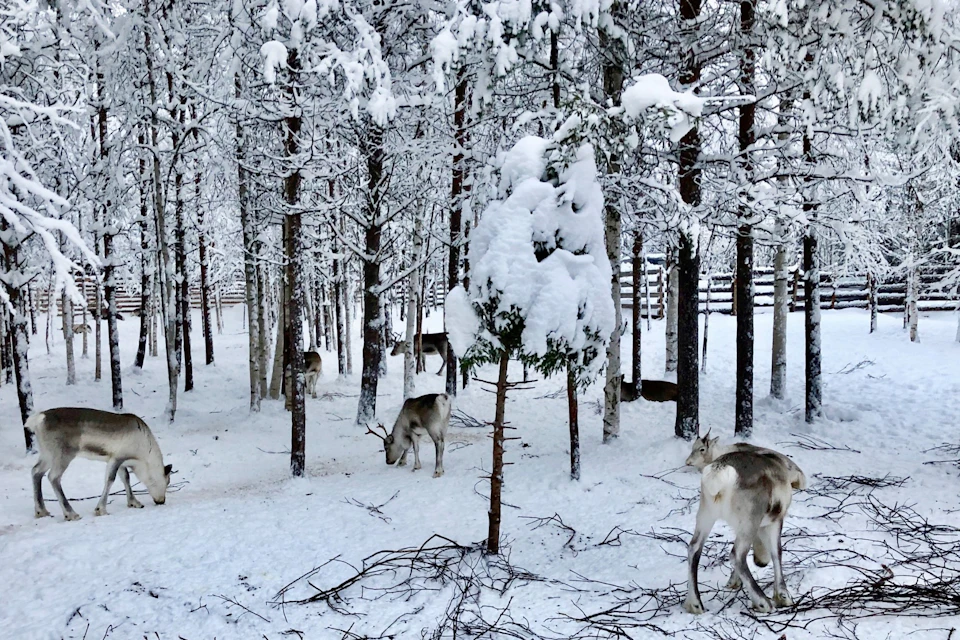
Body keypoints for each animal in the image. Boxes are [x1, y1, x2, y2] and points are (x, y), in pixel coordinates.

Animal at [27, 407, 173, 521]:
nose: (161, 501)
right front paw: (101, 509)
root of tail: (39, 419)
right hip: (63, 455)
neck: (142, 457)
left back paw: (41, 511)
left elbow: (126, 477)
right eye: (167, 481)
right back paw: (71, 514)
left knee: (36, 471)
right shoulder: (117, 458)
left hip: (47, 454)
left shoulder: (119, 461)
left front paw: (134, 502)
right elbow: (110, 479)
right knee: (53, 477)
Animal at [682, 430, 807, 614]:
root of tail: (719, 473)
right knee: (736, 555)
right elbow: (777, 552)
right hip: (749, 519)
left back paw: (694, 603)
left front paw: (733, 582)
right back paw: (763, 602)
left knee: (694, 547)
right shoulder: (775, 519)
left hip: (706, 513)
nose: (760, 562)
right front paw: (783, 596)